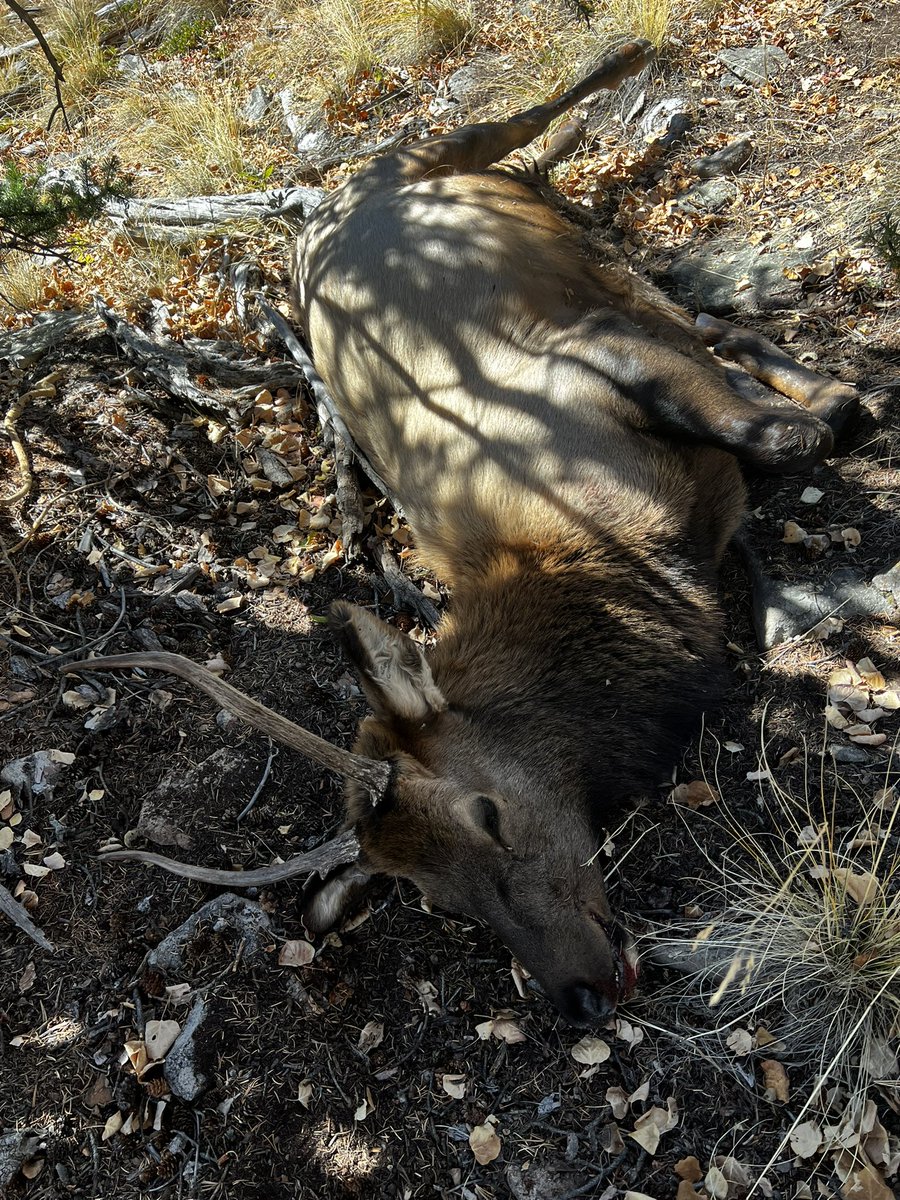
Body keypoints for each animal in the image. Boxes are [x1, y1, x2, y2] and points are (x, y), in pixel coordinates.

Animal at [65, 40, 858, 1025]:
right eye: (438, 897)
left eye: (486, 812)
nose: (579, 993)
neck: (627, 559)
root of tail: (312, 216)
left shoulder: (594, 353)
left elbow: (805, 429)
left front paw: (809, 394)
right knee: (568, 192)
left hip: (422, 155)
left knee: (524, 118)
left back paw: (630, 59)